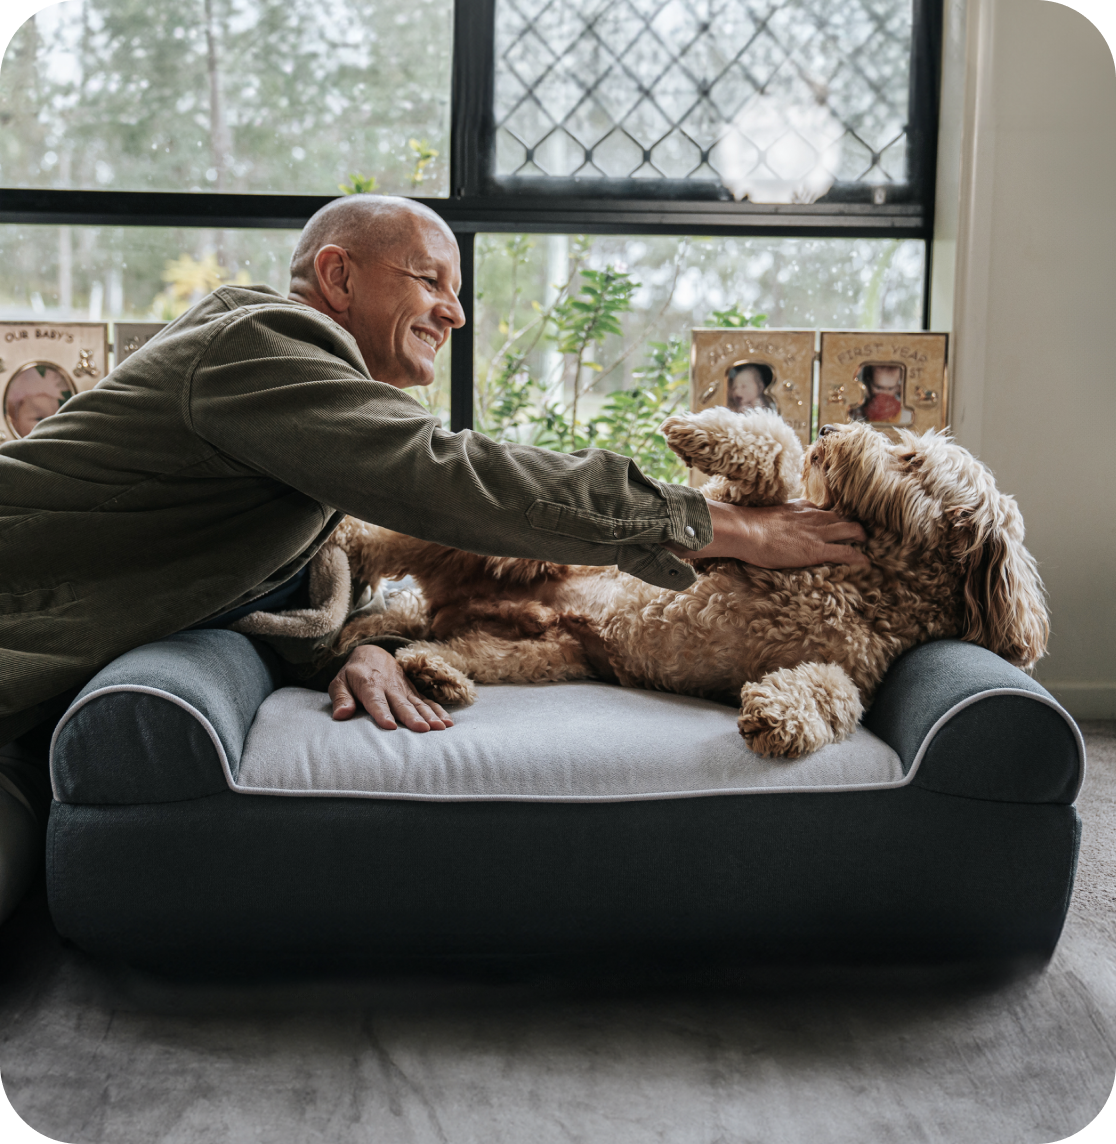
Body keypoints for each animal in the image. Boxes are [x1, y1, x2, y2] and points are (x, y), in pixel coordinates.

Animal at [331, 411, 1047, 759]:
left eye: (910, 458)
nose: (831, 429)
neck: (861, 574)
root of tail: (444, 603)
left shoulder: (847, 669)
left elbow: (829, 695)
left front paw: (777, 716)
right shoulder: (727, 523)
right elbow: (768, 464)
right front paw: (699, 431)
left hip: (539, 651)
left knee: (445, 647)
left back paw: (433, 673)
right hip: (484, 539)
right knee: (386, 535)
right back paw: (342, 557)